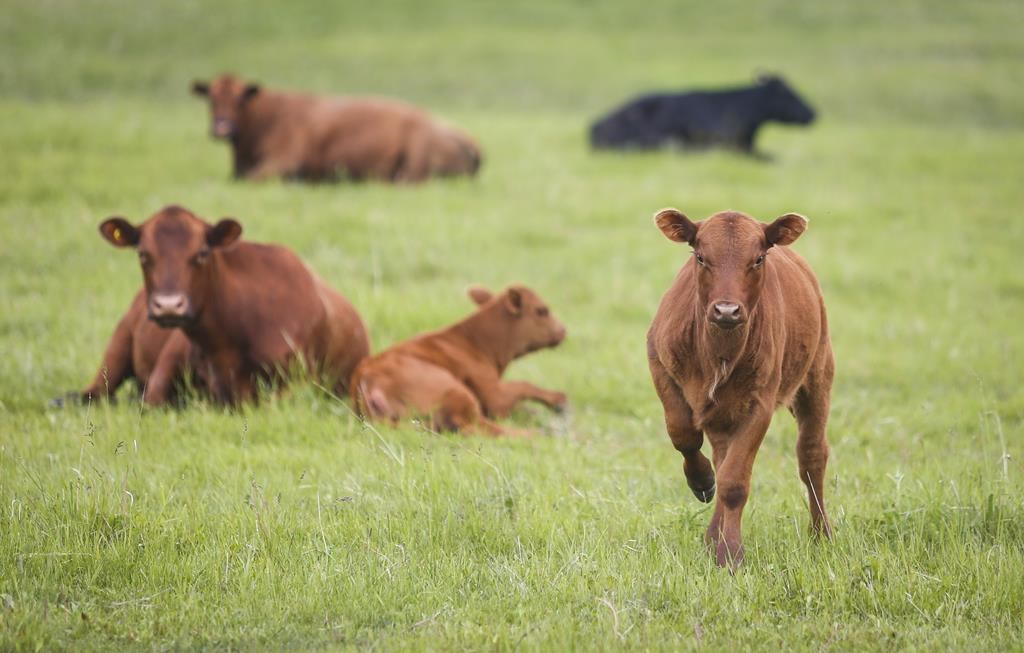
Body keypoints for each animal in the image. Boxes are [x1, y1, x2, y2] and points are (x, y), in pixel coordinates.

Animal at [352, 284, 569, 433]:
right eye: (542, 310)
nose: (563, 330)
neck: (475, 343)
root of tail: (366, 375)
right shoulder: (494, 395)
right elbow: (523, 385)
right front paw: (559, 401)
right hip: (457, 392)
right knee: (481, 428)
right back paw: (541, 433)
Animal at [647, 208, 831, 569]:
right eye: (700, 257)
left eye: (758, 259)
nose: (727, 310)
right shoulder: (658, 362)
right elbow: (683, 434)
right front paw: (701, 482)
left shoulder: (760, 403)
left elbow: (734, 482)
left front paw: (729, 554)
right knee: (721, 454)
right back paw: (710, 531)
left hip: (818, 374)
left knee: (812, 455)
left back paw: (822, 536)